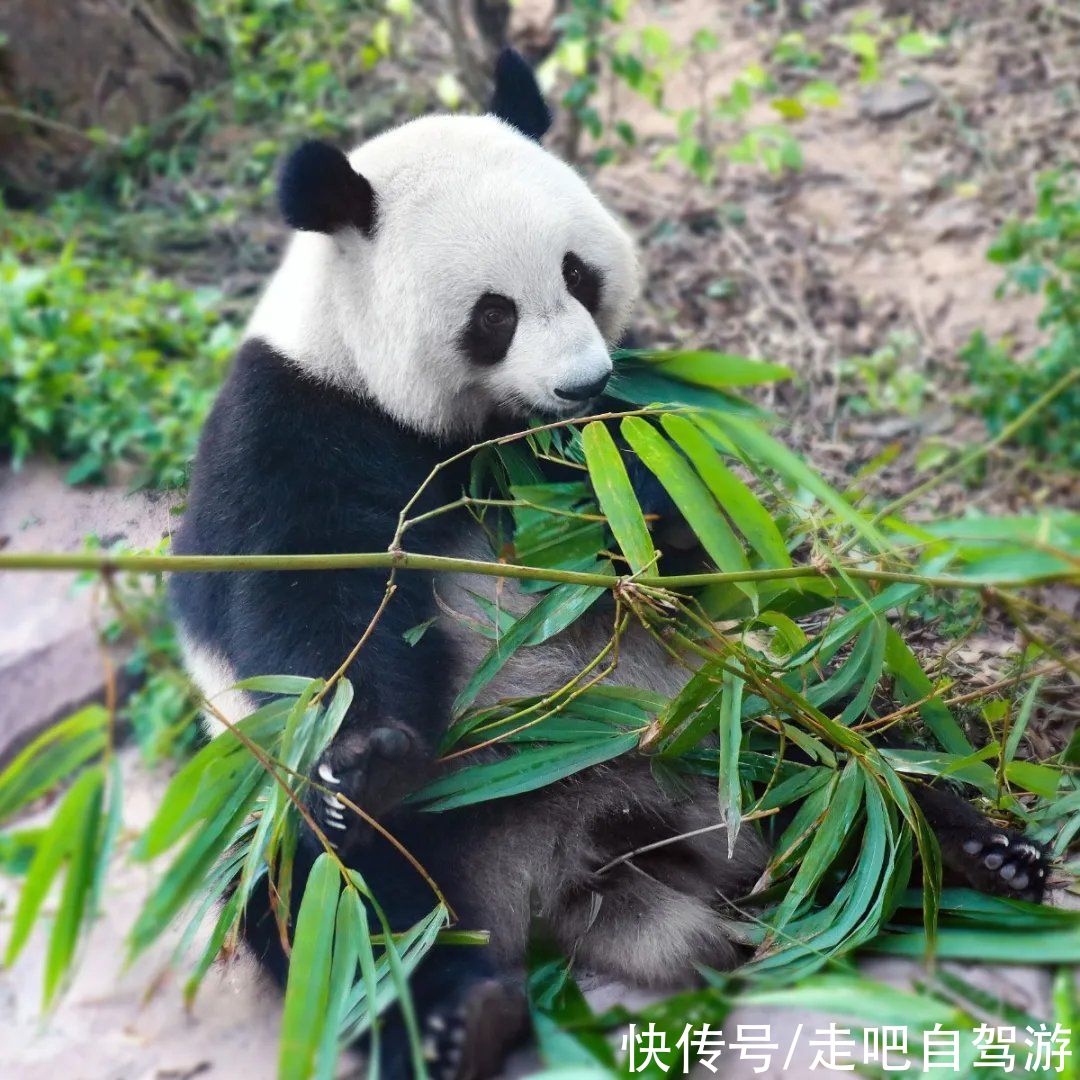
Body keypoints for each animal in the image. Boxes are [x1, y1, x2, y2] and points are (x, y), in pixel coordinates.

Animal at [168, 50, 1045, 1080]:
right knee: (329, 900)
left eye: (579, 274)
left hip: (721, 717)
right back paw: (456, 1019)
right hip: (333, 833)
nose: (581, 380)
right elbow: (311, 609)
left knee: (838, 754)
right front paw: (368, 753)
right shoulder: (292, 425)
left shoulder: (613, 434)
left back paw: (972, 852)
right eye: (493, 315)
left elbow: (683, 531)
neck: (469, 431)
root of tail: (574, 867)